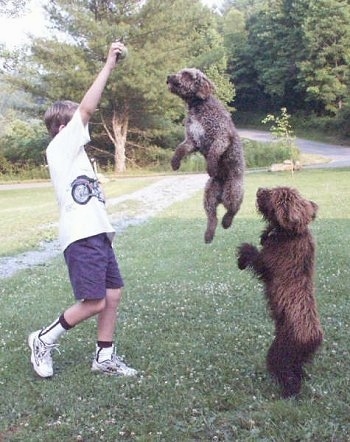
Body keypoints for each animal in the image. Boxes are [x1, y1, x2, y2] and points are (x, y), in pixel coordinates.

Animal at [166, 67, 243, 243]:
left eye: (187, 74)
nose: (169, 76)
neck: (198, 106)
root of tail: (221, 193)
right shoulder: (192, 140)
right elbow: (179, 149)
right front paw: (175, 163)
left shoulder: (220, 137)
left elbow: (214, 153)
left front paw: (211, 168)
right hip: (208, 196)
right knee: (212, 217)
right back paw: (208, 235)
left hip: (232, 192)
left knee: (233, 210)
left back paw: (226, 222)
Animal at [238, 186, 322, 398]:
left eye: (274, 194)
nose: (260, 189)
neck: (291, 233)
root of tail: (314, 339)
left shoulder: (268, 264)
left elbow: (253, 255)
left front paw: (242, 257)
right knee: (297, 370)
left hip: (280, 352)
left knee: (287, 374)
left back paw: (287, 393)